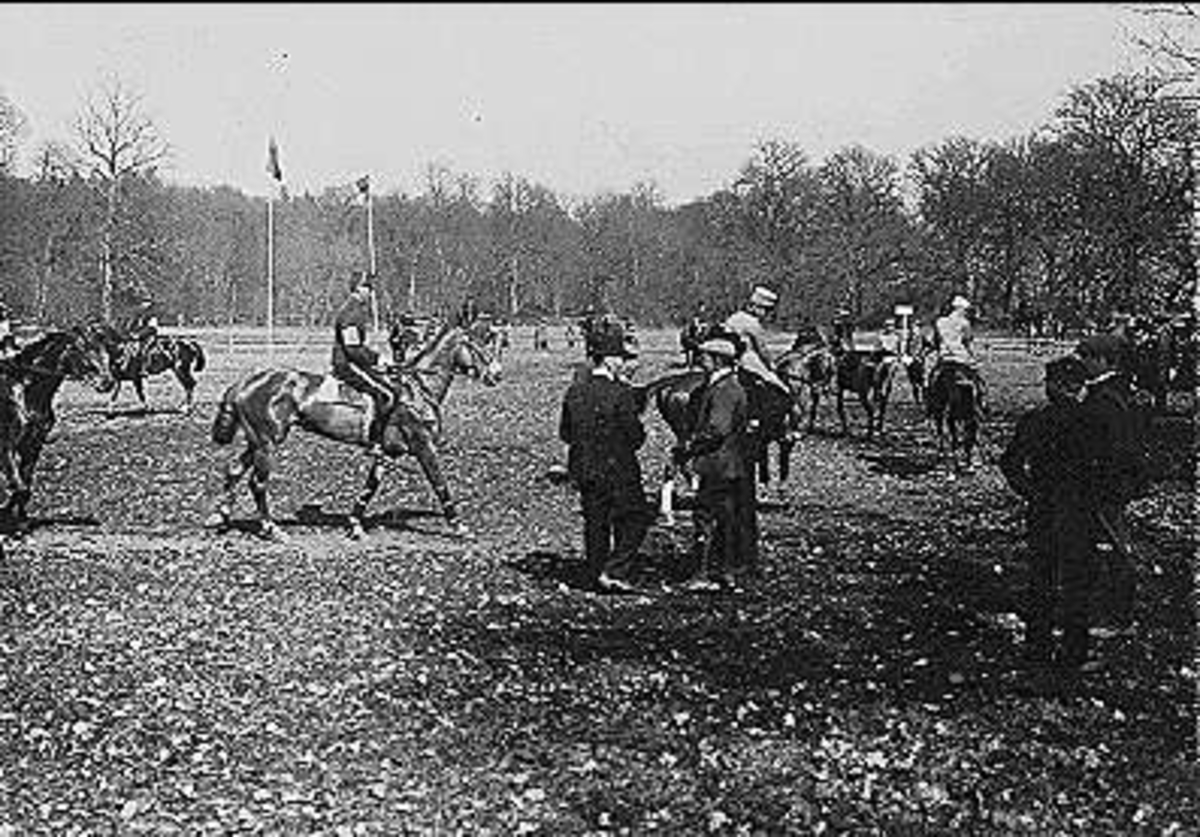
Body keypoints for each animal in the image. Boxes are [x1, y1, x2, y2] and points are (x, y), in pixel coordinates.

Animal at [0, 327, 116, 533]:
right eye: (80, 348)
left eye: (103, 349)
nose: (106, 382)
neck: (25, 390)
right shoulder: (6, 446)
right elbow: (18, 486)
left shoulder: (33, 445)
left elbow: (25, 486)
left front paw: (20, 519)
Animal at [207, 317, 502, 541]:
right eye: (477, 343)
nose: (497, 374)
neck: (416, 390)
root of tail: (247, 381)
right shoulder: (422, 446)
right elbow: (440, 483)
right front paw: (459, 526)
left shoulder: (388, 453)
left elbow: (369, 488)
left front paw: (355, 524)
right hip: (266, 443)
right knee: (257, 483)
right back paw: (271, 528)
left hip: (257, 442)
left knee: (234, 470)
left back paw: (221, 516)